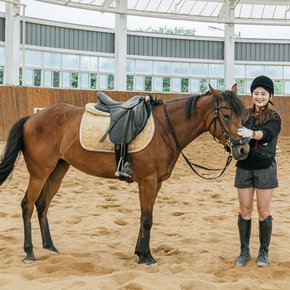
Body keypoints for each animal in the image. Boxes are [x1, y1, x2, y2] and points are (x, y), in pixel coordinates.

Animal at [0, 84, 249, 266]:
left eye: (243, 116)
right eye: (227, 115)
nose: (243, 149)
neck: (165, 129)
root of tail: (32, 119)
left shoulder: (156, 183)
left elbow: (144, 217)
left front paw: (140, 252)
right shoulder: (148, 181)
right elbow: (147, 219)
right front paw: (147, 257)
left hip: (57, 170)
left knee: (42, 204)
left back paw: (50, 246)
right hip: (39, 172)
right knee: (27, 205)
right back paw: (29, 251)